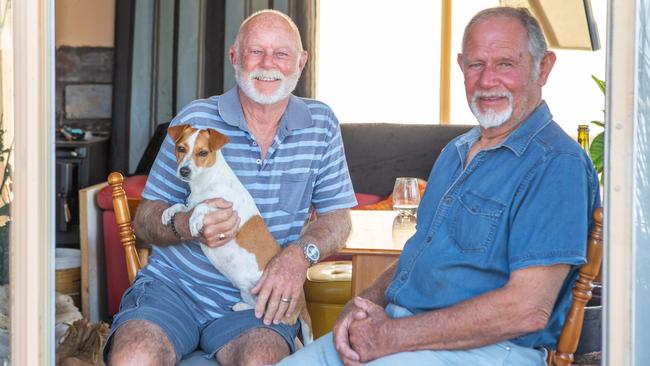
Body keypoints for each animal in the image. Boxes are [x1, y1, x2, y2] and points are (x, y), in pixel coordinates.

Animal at [162, 124, 314, 344]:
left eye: (203, 153)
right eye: (181, 148)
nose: (184, 171)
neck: (206, 183)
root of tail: (301, 302)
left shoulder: (226, 209)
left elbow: (203, 206)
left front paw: (195, 218)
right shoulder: (191, 204)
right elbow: (183, 206)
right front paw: (170, 212)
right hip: (247, 290)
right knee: (255, 306)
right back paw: (240, 306)